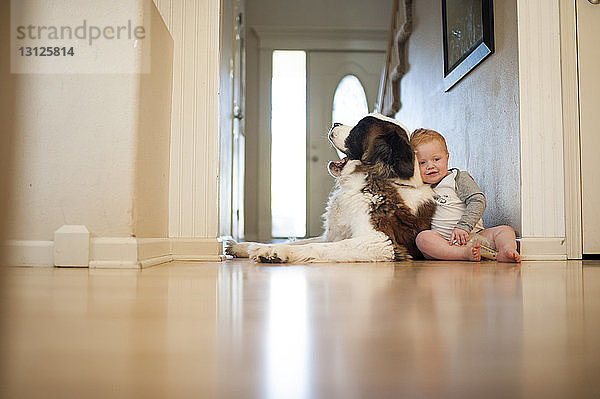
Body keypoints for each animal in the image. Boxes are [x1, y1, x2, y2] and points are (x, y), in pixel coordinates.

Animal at [225, 112, 436, 264]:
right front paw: (243, 246)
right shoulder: (333, 235)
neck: (364, 182)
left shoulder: (381, 242)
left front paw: (274, 250)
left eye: (359, 129)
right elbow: (302, 241)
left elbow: (315, 248)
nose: (335, 123)